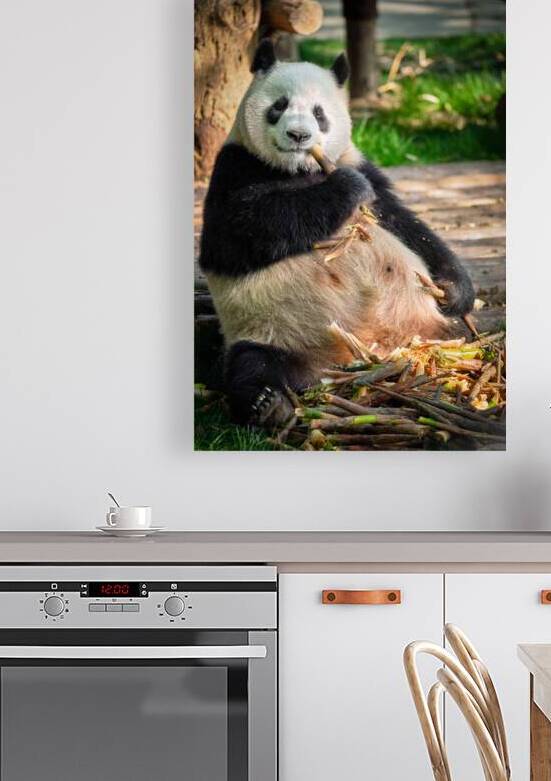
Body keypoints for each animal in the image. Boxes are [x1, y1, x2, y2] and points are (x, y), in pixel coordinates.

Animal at [199, 39, 475, 428]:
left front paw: (454, 289)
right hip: (271, 330)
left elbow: (405, 224)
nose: (299, 135)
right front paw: (344, 188)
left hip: (434, 332)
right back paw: (269, 404)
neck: (299, 169)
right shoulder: (235, 167)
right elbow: (237, 233)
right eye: (279, 105)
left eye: (319, 113)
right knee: (251, 364)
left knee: (461, 337)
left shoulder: (359, 163)